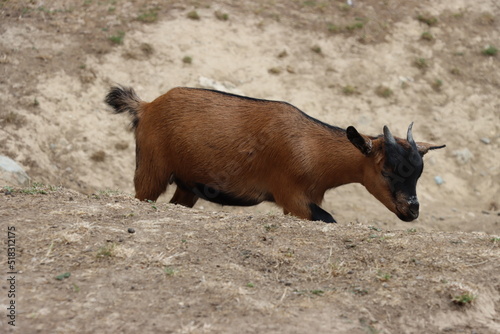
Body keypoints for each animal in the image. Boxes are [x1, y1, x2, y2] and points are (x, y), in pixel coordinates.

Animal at [106, 85, 446, 222]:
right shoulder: (290, 194)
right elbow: (328, 219)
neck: (315, 149)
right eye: (386, 171)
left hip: (189, 184)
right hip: (152, 168)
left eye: (419, 174)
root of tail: (146, 106)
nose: (412, 211)